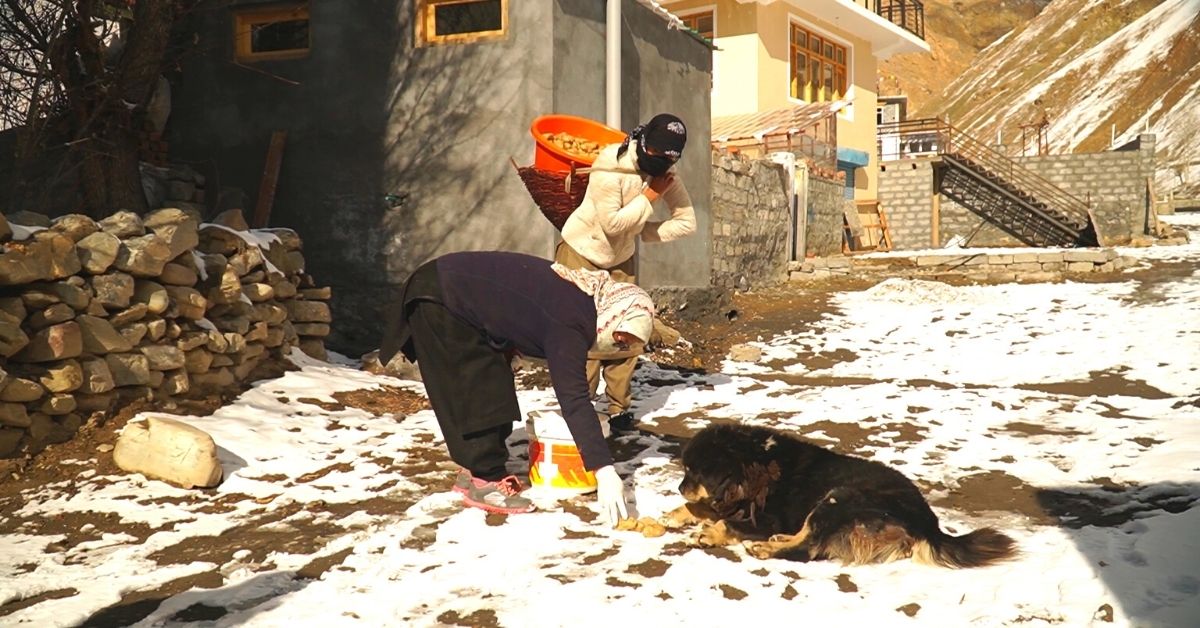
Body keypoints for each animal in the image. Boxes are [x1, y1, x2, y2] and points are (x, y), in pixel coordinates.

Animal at [672, 425, 1017, 566]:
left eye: (694, 473)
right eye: (685, 470)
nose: (678, 487)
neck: (751, 463)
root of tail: (929, 526)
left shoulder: (766, 518)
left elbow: (725, 522)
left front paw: (709, 533)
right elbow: (700, 507)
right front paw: (675, 514)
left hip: (840, 496)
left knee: (810, 547)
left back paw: (767, 548)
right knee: (810, 536)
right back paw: (778, 541)